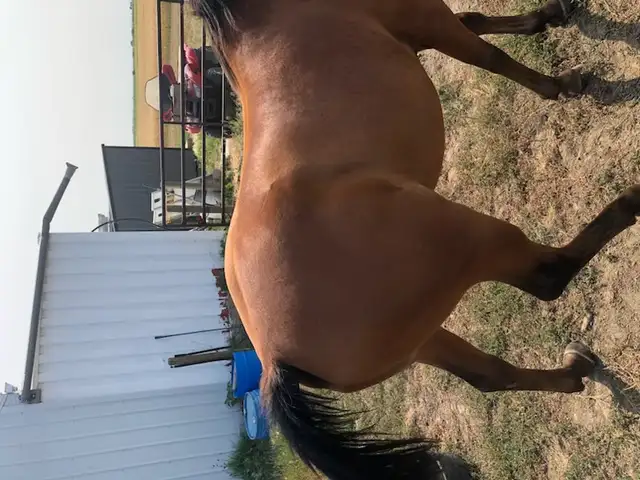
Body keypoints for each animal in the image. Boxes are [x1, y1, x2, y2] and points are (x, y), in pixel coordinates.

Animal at [189, 0, 639, 477]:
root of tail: (275, 359)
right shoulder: (425, 17)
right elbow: (487, 55)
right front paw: (561, 84)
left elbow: (475, 21)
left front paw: (551, 15)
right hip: (466, 239)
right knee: (547, 277)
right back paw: (631, 201)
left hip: (419, 340)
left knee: (491, 376)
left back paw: (574, 371)